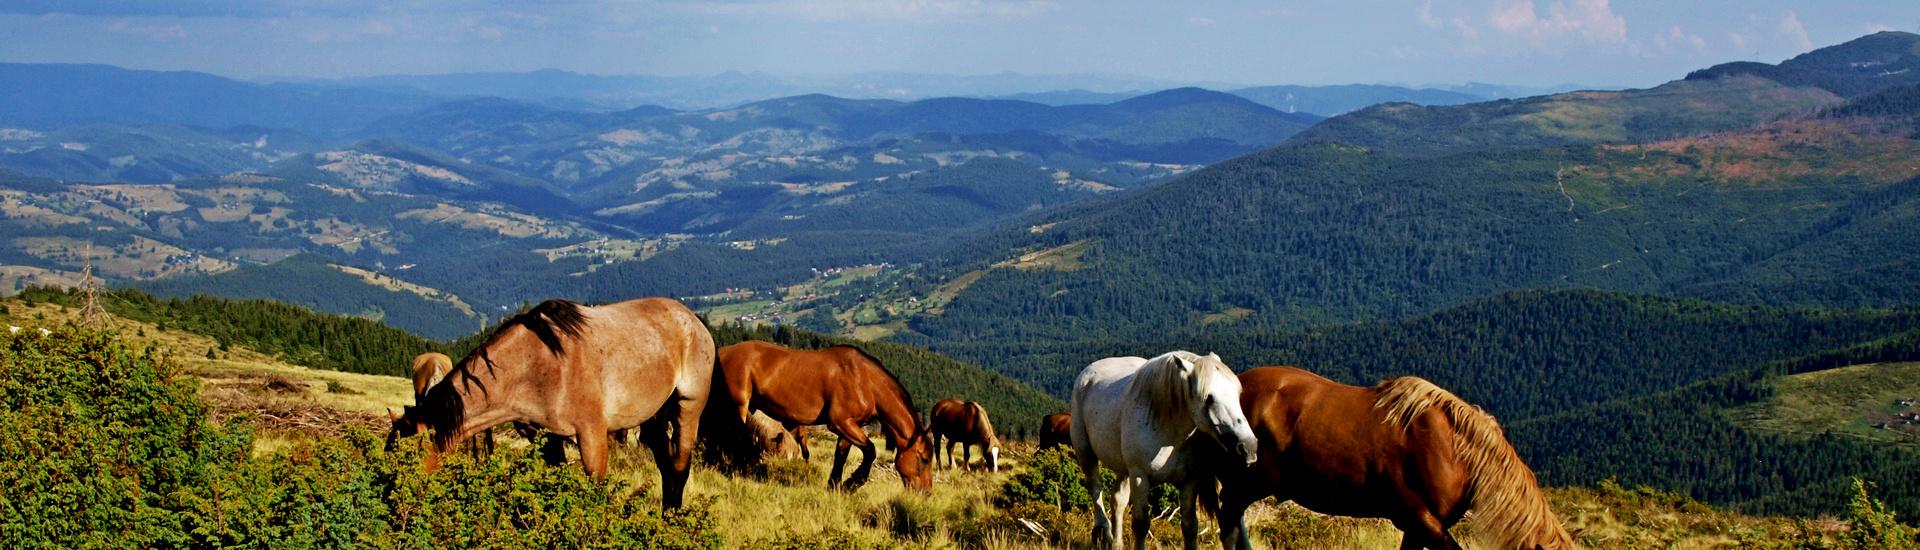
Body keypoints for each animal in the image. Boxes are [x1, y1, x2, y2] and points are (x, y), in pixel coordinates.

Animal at [385, 298, 718, 507]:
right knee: (665, 466)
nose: (390, 499)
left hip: (689, 407)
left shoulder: (592, 434)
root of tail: (692, 320)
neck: (537, 364)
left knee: (679, 468)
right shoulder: (545, 436)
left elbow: (595, 491)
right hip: (653, 419)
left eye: (406, 460)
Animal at [718, 342, 933, 492]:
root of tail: (721, 352)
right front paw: (852, 483)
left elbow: (841, 456)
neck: (865, 380)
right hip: (739, 405)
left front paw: (835, 486)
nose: (926, 492)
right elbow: (870, 451)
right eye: (924, 459)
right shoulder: (839, 423)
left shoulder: (850, 426)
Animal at [1075, 351, 1267, 550]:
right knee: (1095, 488)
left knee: (1117, 501)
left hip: (1124, 470)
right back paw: (1103, 532)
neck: (1168, 431)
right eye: (1209, 398)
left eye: (1238, 393)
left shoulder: (1190, 481)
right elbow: (1141, 524)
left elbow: (1190, 526)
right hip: (1086, 453)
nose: (1249, 446)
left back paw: (1117, 543)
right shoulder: (1139, 477)